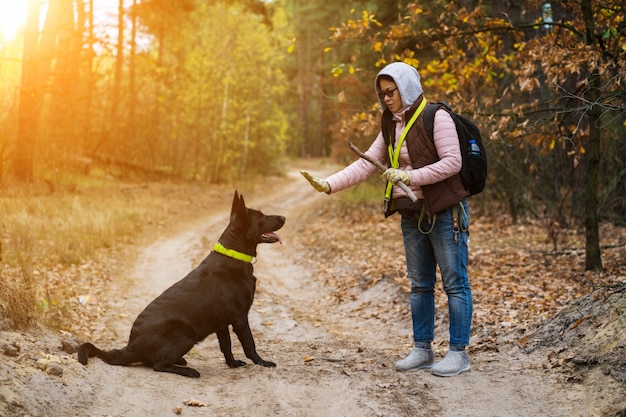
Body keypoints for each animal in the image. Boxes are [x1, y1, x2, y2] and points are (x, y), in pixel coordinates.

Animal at [78, 192, 286, 376]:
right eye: (261, 216)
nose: (284, 217)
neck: (233, 255)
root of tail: (130, 348)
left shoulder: (222, 324)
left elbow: (226, 346)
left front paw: (232, 364)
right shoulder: (240, 318)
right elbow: (249, 344)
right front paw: (262, 362)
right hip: (186, 334)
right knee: (158, 365)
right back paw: (188, 371)